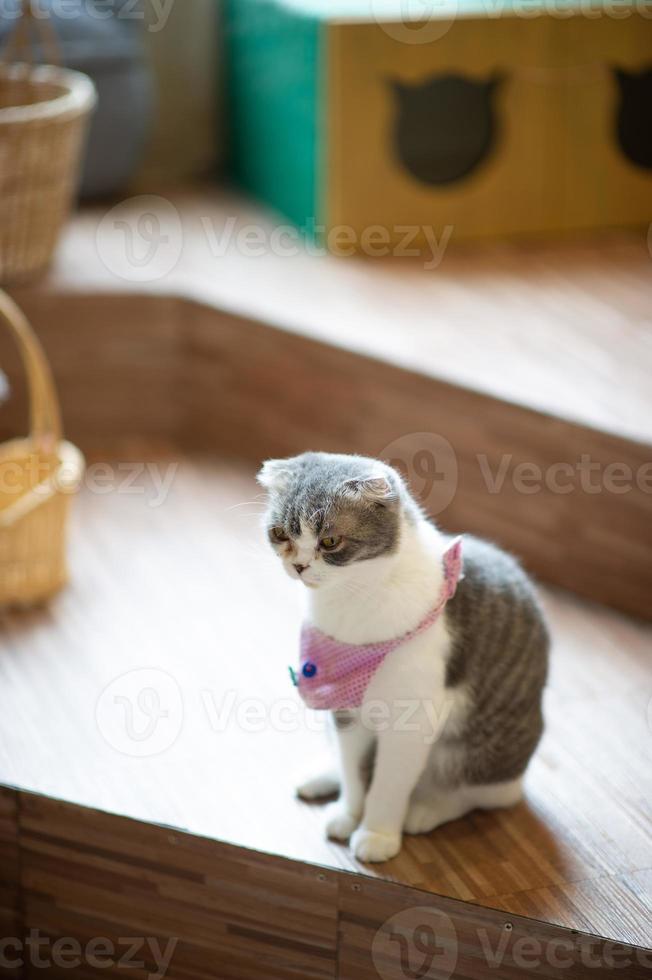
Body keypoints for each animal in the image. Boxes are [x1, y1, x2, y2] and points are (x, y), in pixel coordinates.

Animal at [258, 454, 548, 864]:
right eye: (281, 533)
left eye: (329, 541)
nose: (298, 566)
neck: (350, 599)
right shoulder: (343, 701)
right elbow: (352, 769)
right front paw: (349, 813)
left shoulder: (411, 720)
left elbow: (389, 783)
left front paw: (376, 834)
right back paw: (323, 776)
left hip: (484, 750)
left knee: (480, 792)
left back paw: (428, 809)